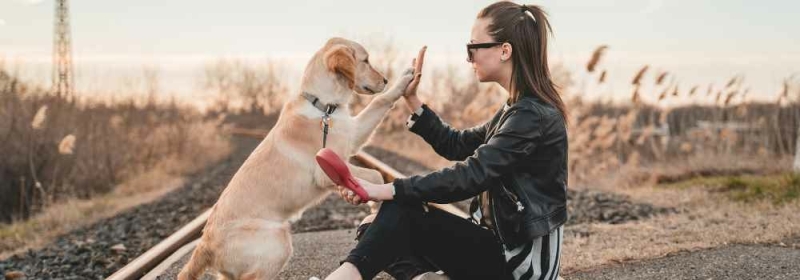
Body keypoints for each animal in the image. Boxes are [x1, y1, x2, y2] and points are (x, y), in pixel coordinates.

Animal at [175, 37, 412, 280]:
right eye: (365, 61)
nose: (385, 80)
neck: (324, 107)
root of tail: (204, 245)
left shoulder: (353, 135)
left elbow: (379, 102)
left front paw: (403, 81)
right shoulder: (326, 170)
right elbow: (375, 174)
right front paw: (376, 207)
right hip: (278, 242)